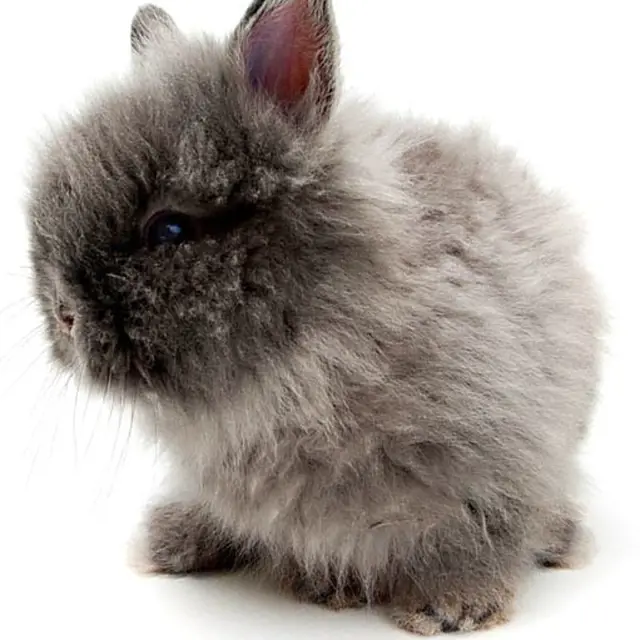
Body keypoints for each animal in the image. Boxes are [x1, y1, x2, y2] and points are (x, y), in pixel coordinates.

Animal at [26, 0, 604, 635]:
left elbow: (482, 534)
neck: (303, 362)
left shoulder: (499, 460)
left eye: (170, 229)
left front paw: (451, 606)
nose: (64, 316)